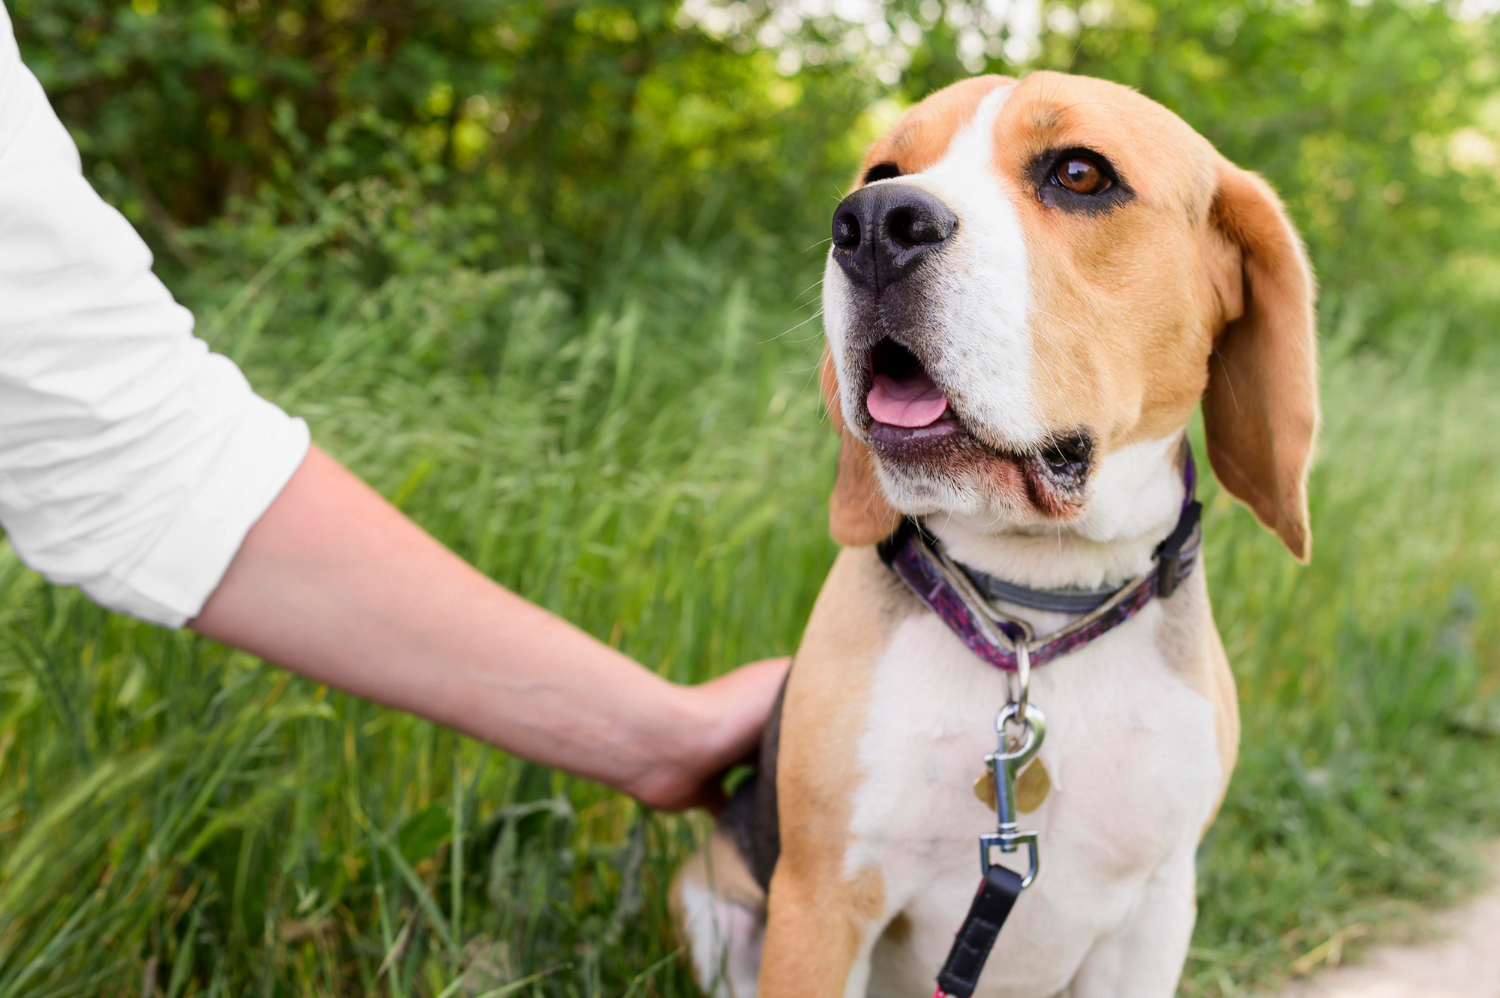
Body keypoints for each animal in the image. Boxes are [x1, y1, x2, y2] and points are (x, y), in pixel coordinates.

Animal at [669, 73, 1314, 996]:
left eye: (1080, 173)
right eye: (882, 171)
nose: (872, 224)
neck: (1034, 611)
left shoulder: (1155, 915)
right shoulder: (823, 902)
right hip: (709, 903)